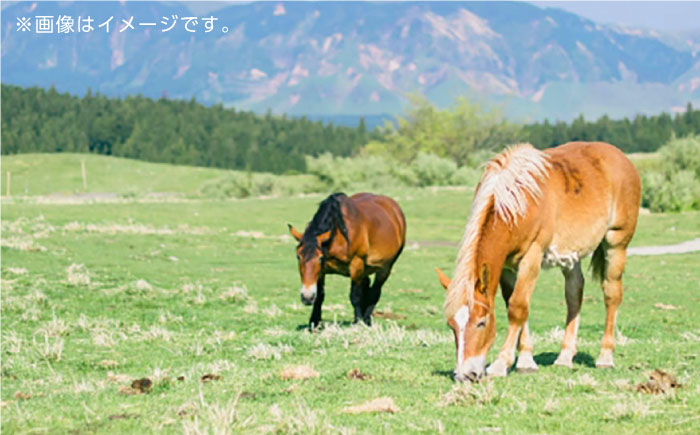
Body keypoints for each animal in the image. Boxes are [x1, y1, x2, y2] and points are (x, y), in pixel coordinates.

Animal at [288, 192, 404, 328]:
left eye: (320, 257)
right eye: (298, 256)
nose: (307, 297)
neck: (338, 236)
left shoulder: (356, 264)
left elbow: (355, 296)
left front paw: (358, 322)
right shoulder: (322, 271)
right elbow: (320, 295)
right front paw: (314, 323)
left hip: (384, 268)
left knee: (375, 292)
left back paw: (367, 320)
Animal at [438, 142, 640, 382]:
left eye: (481, 322)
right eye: (452, 325)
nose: (465, 375)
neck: (517, 203)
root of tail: (621, 158)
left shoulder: (532, 256)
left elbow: (517, 308)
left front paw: (501, 363)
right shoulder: (507, 266)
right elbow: (515, 303)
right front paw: (526, 360)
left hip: (616, 243)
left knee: (612, 295)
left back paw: (605, 357)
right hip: (571, 255)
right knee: (574, 295)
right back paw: (565, 357)